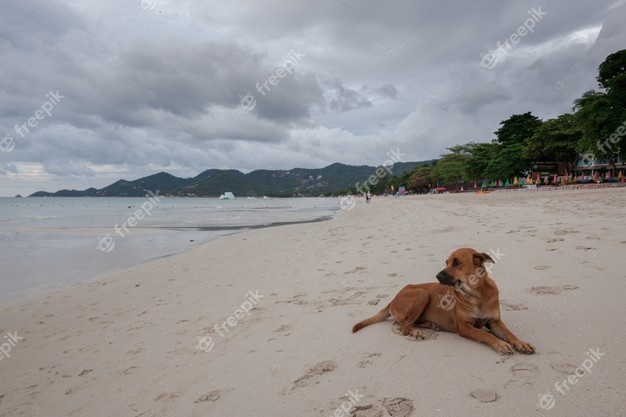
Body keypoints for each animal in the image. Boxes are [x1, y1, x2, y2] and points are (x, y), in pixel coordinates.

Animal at [352, 249, 532, 352]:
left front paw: (521, 343)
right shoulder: (464, 327)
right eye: (446, 262)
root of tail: (394, 298)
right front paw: (500, 344)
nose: (437, 276)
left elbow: (509, 332)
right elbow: (485, 334)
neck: (476, 294)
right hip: (422, 294)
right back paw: (415, 331)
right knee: (403, 325)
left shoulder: (495, 322)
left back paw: (430, 324)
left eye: (457, 262)